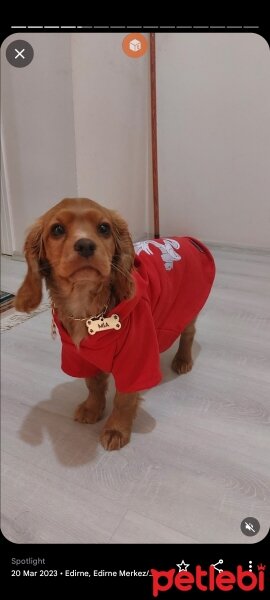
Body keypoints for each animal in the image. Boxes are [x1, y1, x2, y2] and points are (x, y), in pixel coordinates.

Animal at [15, 197, 215, 450]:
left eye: (104, 228)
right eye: (57, 230)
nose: (85, 245)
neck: (87, 309)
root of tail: (187, 239)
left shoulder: (135, 358)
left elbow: (124, 399)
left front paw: (116, 429)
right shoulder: (81, 356)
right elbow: (93, 385)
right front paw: (92, 409)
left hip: (186, 306)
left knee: (188, 333)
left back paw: (182, 360)